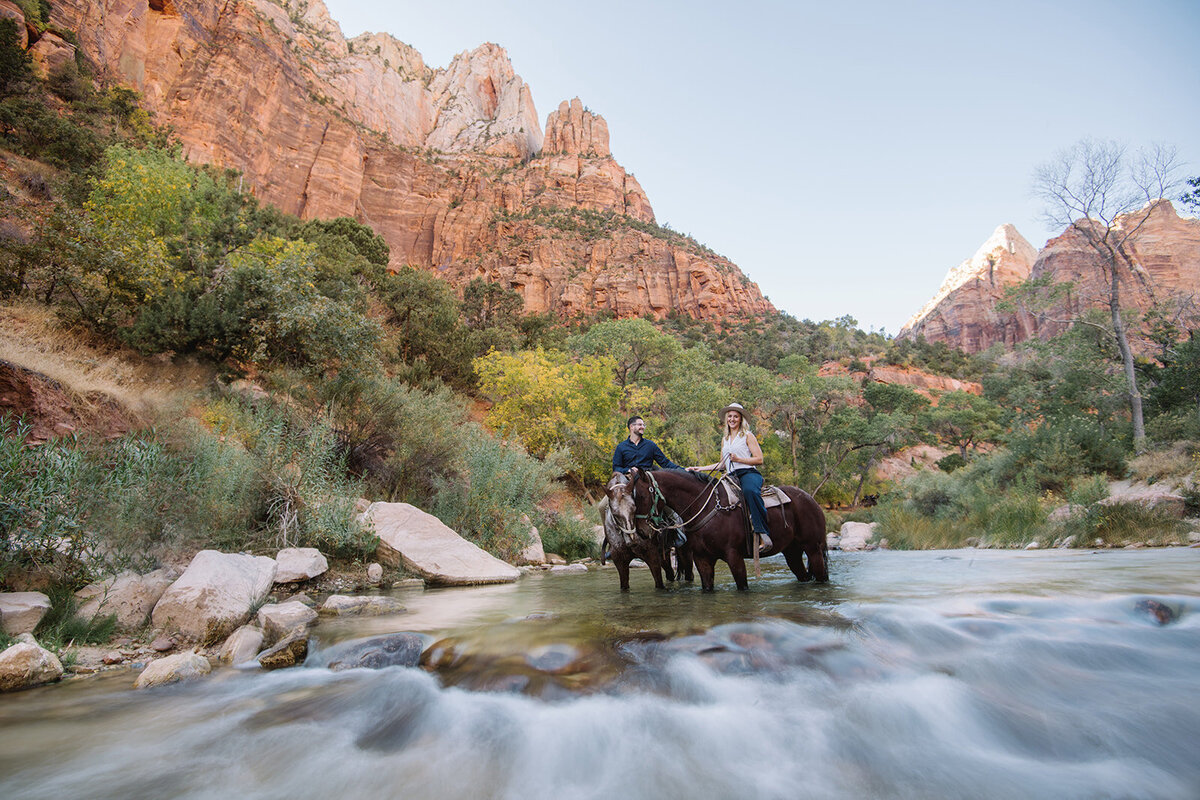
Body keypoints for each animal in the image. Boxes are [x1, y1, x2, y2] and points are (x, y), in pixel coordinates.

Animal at [614, 465, 830, 592]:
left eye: (641, 496)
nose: (642, 531)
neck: (706, 507)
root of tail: (811, 500)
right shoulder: (702, 559)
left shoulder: (734, 556)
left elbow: (742, 586)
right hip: (792, 552)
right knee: (802, 574)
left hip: (813, 549)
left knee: (821, 576)